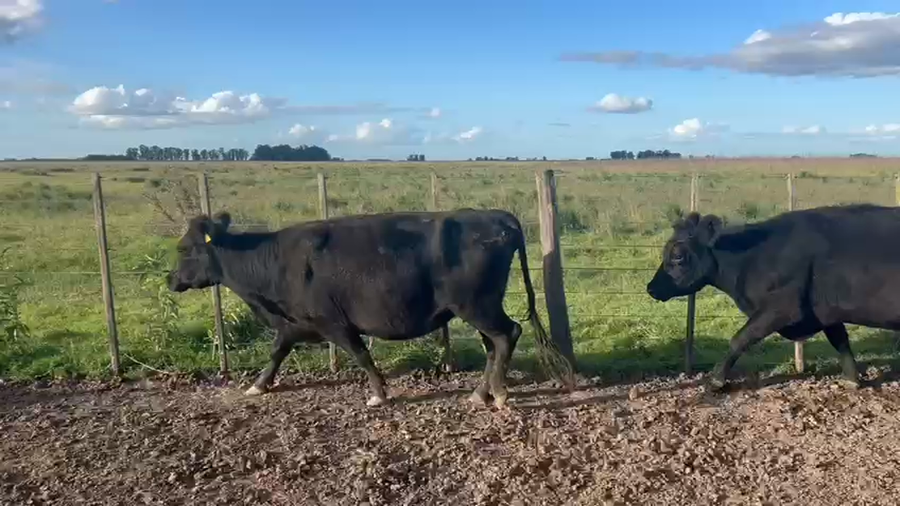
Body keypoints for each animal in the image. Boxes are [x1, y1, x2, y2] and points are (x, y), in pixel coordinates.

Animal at [167, 208, 574, 408]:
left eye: (184, 248)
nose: (171, 279)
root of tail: (494, 216)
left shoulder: (334, 322)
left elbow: (361, 355)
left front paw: (379, 393)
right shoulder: (294, 323)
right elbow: (277, 352)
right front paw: (258, 385)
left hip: (477, 305)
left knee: (507, 335)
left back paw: (499, 393)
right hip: (478, 308)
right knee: (494, 344)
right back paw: (481, 392)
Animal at [646, 203, 900, 391]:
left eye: (678, 255)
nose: (651, 288)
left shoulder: (783, 307)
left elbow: (740, 339)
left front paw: (716, 381)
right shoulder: (825, 310)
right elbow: (841, 342)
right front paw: (852, 380)